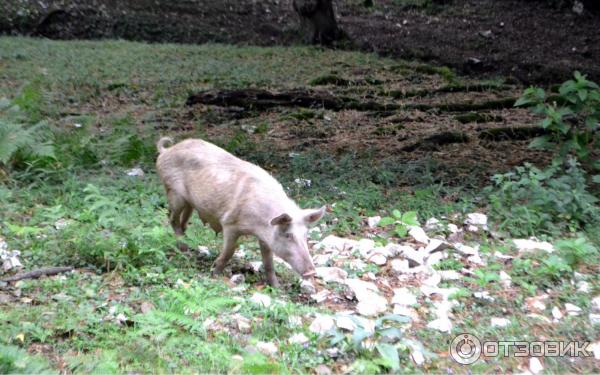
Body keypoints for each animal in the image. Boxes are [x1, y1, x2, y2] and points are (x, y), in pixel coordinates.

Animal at [155, 138, 324, 288]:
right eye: (288, 235)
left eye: (305, 235)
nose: (311, 272)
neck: (260, 223)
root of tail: (166, 151)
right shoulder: (229, 223)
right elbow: (229, 252)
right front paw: (215, 273)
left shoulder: (265, 238)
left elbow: (269, 263)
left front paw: (277, 287)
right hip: (174, 193)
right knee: (172, 219)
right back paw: (184, 250)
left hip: (189, 203)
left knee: (183, 223)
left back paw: (187, 247)